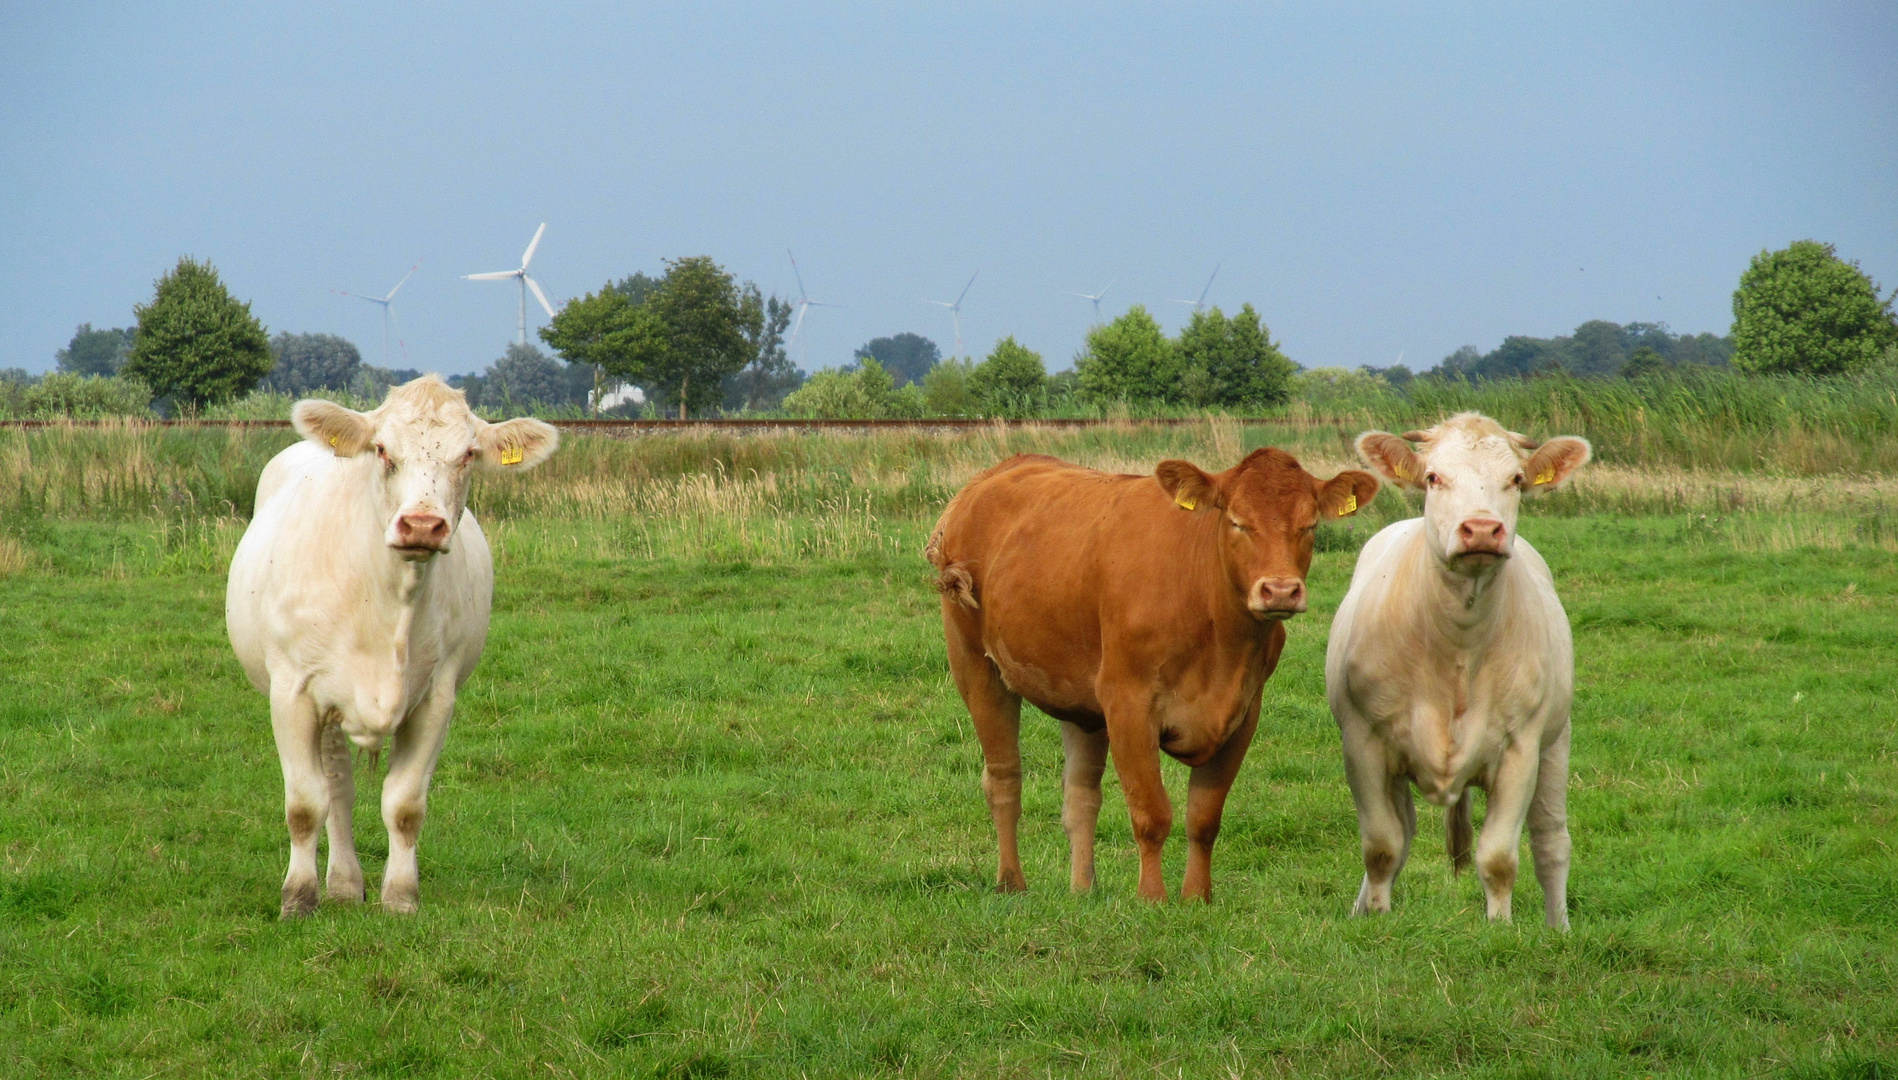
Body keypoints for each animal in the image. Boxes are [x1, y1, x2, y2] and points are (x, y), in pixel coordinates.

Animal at [226, 373, 558, 914]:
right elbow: (304, 804)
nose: (422, 524)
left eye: (468, 455)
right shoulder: (292, 692)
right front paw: (297, 896)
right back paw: (341, 882)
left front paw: (401, 897)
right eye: (382, 449)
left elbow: (404, 805)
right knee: (337, 789)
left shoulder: (437, 697)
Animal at [926, 447, 1374, 899]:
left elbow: (1204, 818)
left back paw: (1083, 888)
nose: (1280, 590)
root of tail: (995, 473)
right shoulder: (1128, 705)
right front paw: (1152, 898)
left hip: (1081, 700)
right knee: (1004, 778)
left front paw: (1197, 897)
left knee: (1081, 795)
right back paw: (1011, 882)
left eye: (1310, 525)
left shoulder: (1243, 713)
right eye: (1237, 521)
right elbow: (1151, 813)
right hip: (975, 666)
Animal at [1328, 411, 1594, 926]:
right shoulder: (1364, 742)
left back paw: (1560, 928)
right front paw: (1378, 920)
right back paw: (1361, 909)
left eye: (1516, 479)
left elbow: (1498, 857)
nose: (1482, 529)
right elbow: (1382, 846)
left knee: (1551, 840)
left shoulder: (1520, 750)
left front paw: (1500, 927)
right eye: (1433, 477)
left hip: (1558, 740)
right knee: (1403, 831)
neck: (1456, 645)